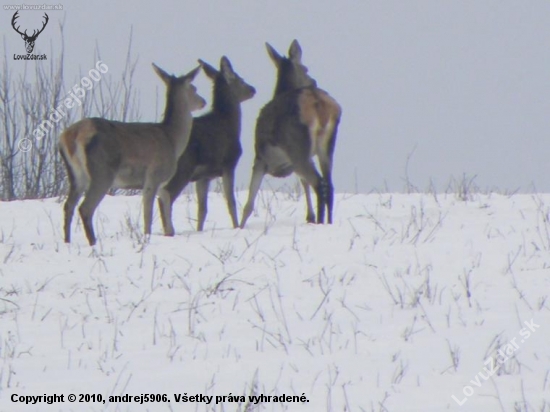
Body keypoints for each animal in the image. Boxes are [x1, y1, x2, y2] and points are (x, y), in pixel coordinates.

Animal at [59, 62, 207, 246]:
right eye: (193, 88)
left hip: (76, 175)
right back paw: (93, 243)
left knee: (68, 206)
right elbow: (148, 214)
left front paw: (169, 232)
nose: (203, 101)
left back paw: (67, 241)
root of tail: (71, 137)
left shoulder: (160, 183)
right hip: (102, 172)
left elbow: (165, 203)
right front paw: (147, 238)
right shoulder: (154, 176)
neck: (172, 140)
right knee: (85, 208)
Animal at [157, 56, 256, 233]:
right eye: (240, 79)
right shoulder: (228, 164)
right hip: (182, 169)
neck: (229, 123)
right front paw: (237, 227)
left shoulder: (204, 176)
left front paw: (199, 230)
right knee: (165, 197)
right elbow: (231, 202)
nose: (253, 89)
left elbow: (202, 209)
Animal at [240, 40, 342, 229]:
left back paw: (320, 223)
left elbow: (249, 203)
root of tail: (317, 102)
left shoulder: (260, 158)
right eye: (306, 69)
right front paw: (309, 216)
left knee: (319, 184)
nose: (313, 81)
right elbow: (303, 184)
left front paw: (239, 226)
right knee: (329, 185)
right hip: (324, 146)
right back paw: (327, 222)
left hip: (296, 146)